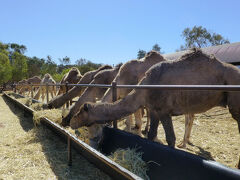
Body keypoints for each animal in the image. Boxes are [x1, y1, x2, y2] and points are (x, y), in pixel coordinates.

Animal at [70, 48, 240, 148]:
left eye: (81, 112)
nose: (71, 122)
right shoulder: (154, 110)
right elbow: (151, 135)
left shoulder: (164, 111)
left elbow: (170, 138)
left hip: (235, 103)